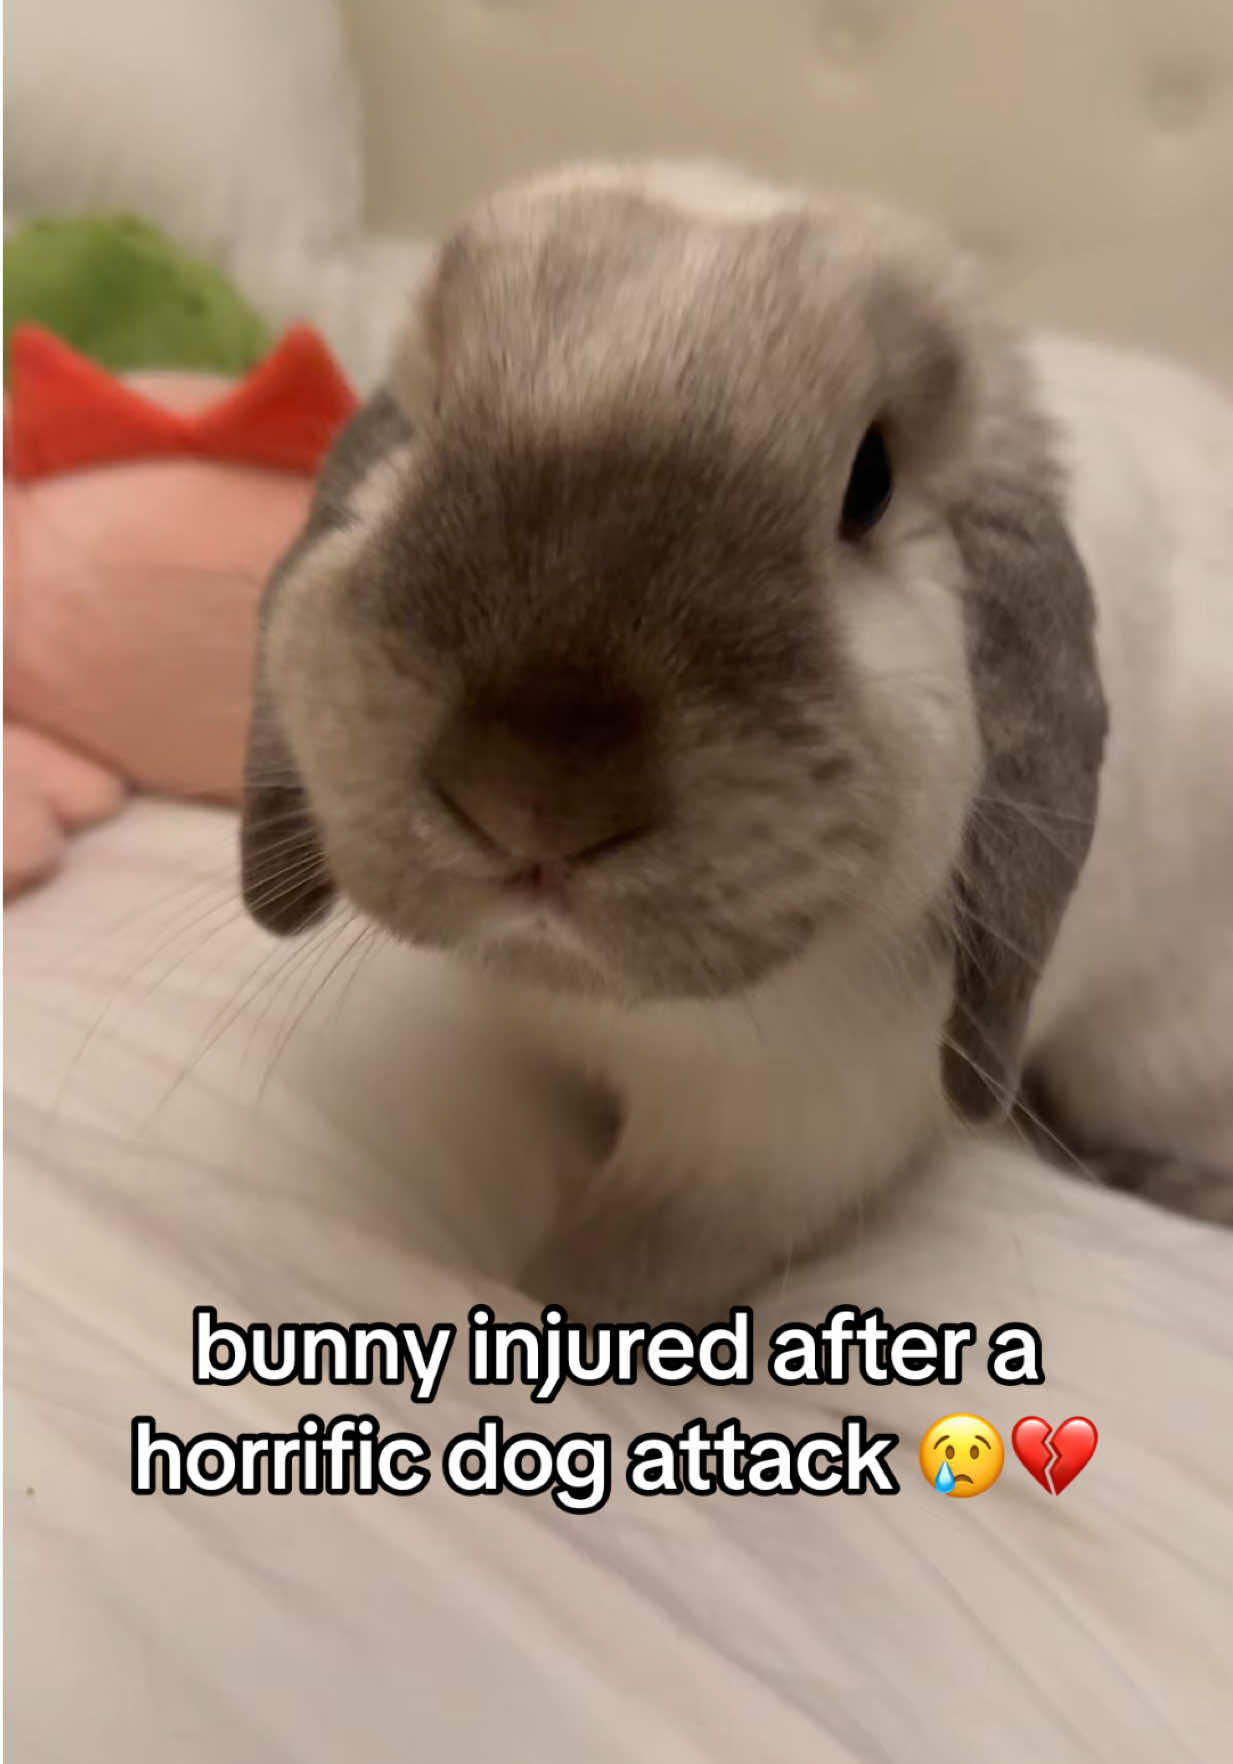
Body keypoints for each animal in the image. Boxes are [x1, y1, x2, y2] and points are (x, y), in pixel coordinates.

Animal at [240, 161, 1233, 1320]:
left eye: (870, 484)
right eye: (424, 426)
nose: (532, 799)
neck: (597, 1002)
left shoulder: (757, 1157)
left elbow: (609, 1272)